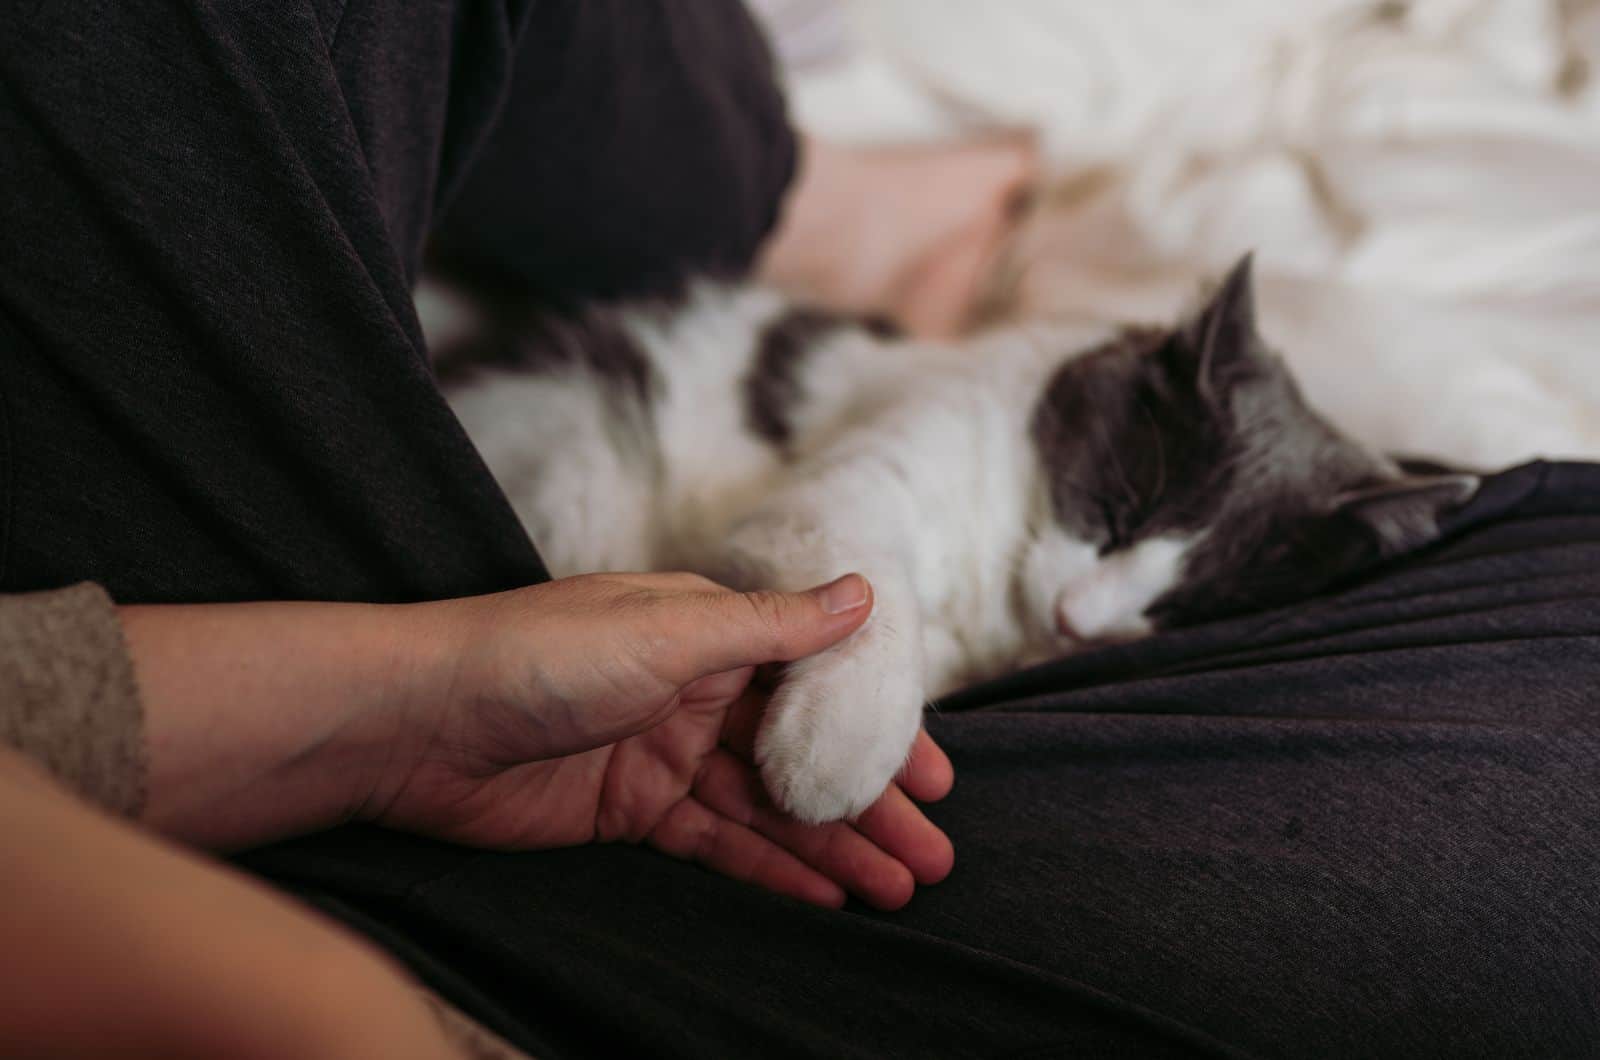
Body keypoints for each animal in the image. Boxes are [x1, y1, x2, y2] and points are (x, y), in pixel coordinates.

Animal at [435, 259, 1472, 832]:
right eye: (1117, 512)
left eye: (1177, 608)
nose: (1075, 619)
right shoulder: (842, 492)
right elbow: (876, 593)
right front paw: (836, 750)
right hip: (581, 465)